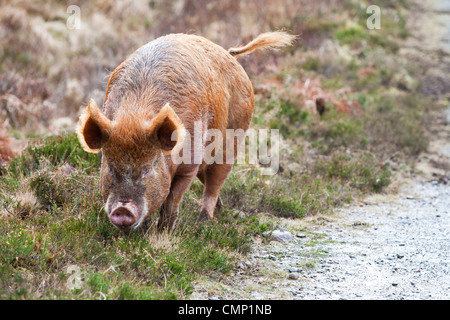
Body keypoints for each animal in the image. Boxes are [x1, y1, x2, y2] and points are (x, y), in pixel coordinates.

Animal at [77, 31, 296, 231]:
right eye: (110, 167)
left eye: (147, 168)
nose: (122, 210)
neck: (135, 115)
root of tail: (229, 55)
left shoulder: (189, 166)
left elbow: (172, 201)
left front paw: (164, 232)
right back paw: (220, 211)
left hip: (233, 137)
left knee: (215, 182)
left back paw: (205, 222)